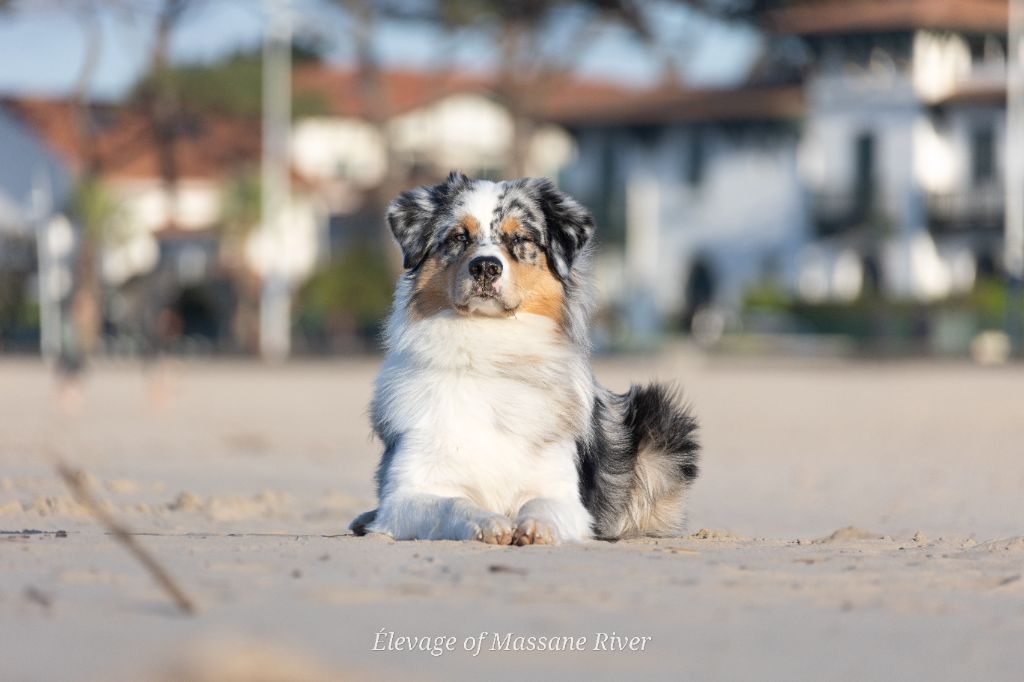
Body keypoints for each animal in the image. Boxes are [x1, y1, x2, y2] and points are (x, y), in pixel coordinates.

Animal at [350, 173, 696, 544]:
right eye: (459, 236)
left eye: (520, 238)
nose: (485, 267)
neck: (489, 348)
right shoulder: (406, 495)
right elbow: (452, 505)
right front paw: (487, 522)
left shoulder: (564, 496)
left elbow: (540, 505)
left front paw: (536, 528)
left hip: (659, 427)